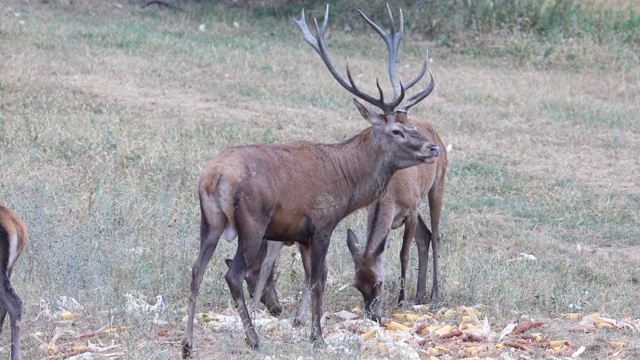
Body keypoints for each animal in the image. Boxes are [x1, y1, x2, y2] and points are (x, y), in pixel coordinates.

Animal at [181, 4, 440, 356]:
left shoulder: (301, 235)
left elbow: (313, 277)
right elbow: (319, 279)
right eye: (397, 130)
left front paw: (306, 326)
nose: (434, 147)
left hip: (210, 219)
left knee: (196, 269)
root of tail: (214, 176)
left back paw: (188, 343)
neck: (347, 182)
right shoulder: (321, 223)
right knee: (233, 274)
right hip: (252, 221)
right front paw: (318, 335)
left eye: (411, 124)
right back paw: (253, 338)